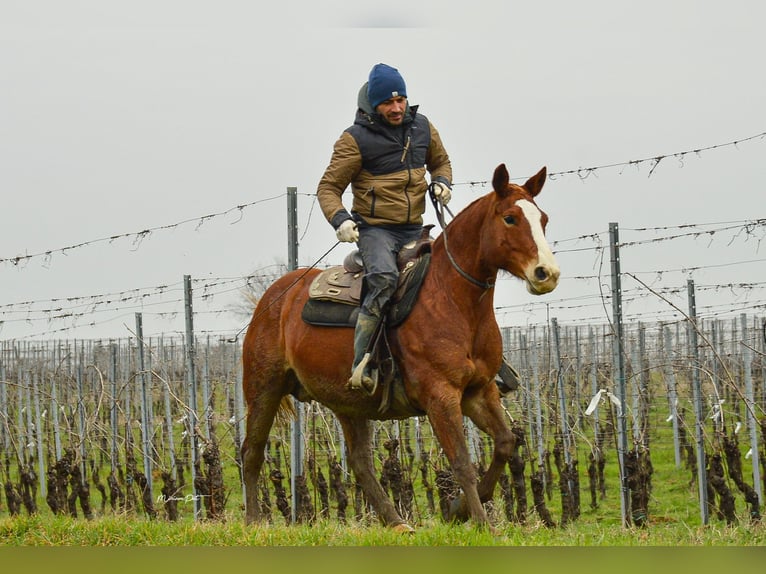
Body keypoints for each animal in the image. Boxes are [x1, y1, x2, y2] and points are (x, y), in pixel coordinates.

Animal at [243, 164, 560, 532]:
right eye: (510, 218)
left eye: (543, 219)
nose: (547, 273)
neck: (453, 300)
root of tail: (275, 296)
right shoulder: (441, 396)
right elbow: (461, 461)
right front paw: (481, 522)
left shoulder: (480, 392)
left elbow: (506, 443)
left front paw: (459, 509)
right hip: (263, 389)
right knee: (251, 451)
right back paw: (252, 519)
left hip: (348, 403)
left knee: (361, 463)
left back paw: (396, 521)